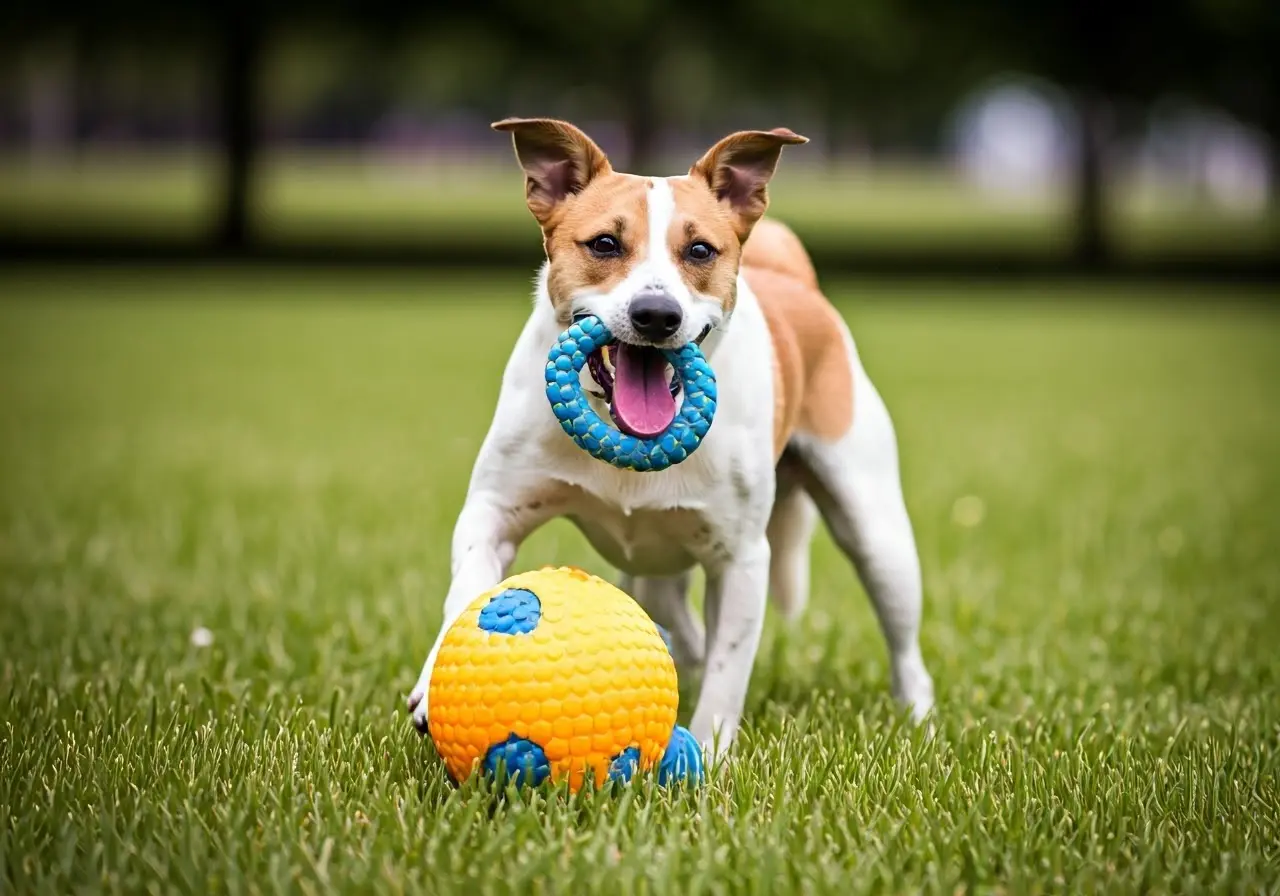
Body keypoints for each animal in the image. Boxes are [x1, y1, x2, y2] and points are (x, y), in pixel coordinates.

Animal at [409, 117, 942, 762]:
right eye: (604, 244)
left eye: (700, 250)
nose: (656, 314)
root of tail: (796, 280)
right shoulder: (495, 509)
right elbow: (468, 588)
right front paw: (431, 684)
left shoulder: (742, 559)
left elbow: (726, 674)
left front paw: (708, 758)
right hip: (660, 560)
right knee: (676, 622)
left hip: (876, 533)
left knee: (904, 646)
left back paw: (920, 721)